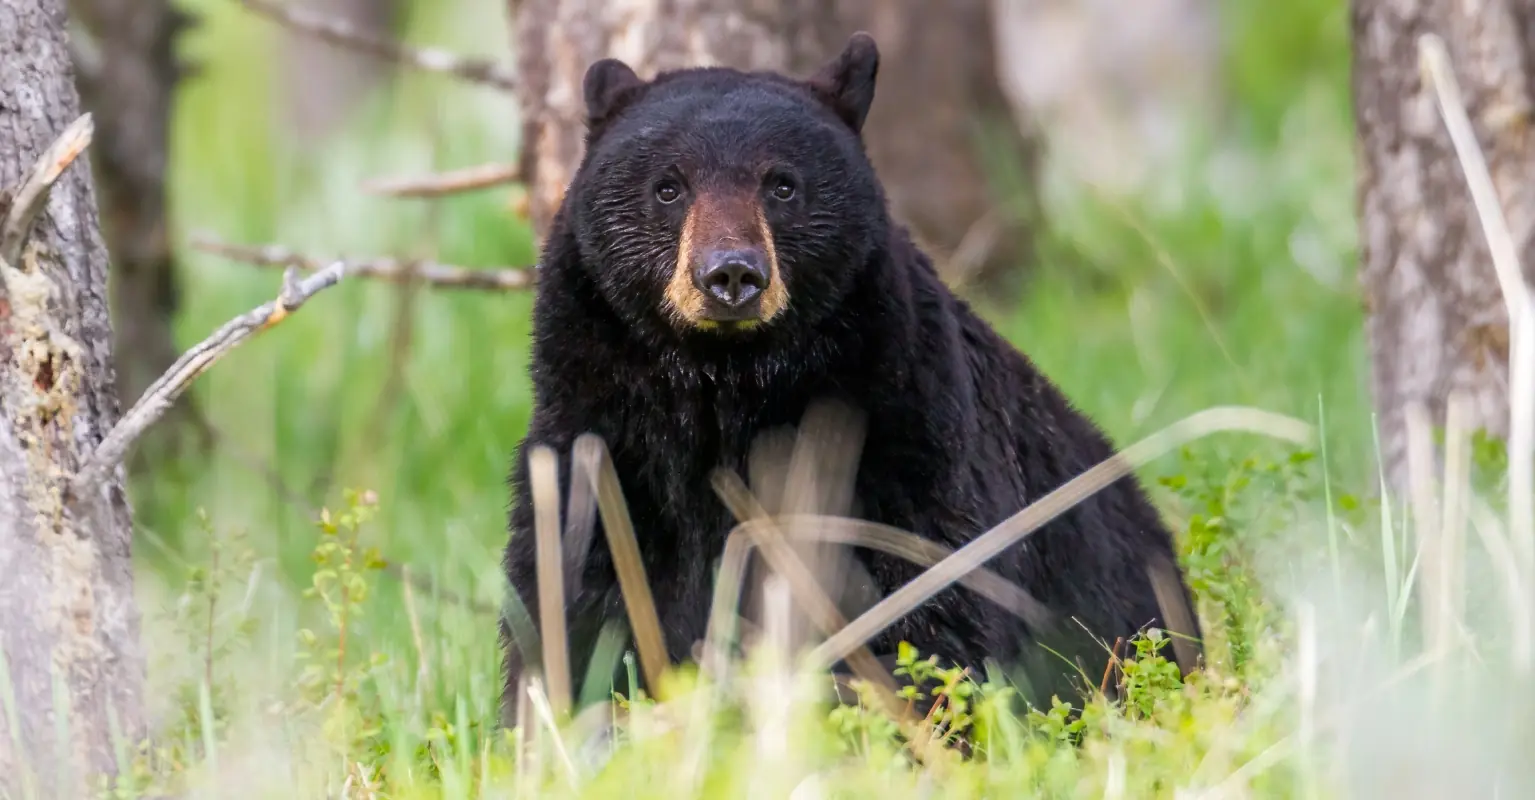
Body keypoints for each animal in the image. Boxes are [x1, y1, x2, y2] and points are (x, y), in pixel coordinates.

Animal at [500, 32, 1202, 724]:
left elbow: (931, 588)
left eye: (782, 186)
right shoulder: (600, 436)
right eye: (669, 188)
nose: (731, 275)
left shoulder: (902, 423)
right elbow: (569, 589)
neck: (726, 386)